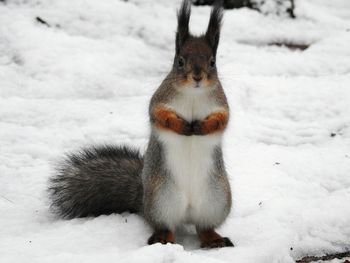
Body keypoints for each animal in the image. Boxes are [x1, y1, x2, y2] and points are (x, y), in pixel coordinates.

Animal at [47, 0, 232, 249]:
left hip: (216, 201)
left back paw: (214, 239)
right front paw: (182, 126)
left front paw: (202, 127)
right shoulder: (159, 100)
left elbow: (222, 120)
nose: (197, 76)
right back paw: (163, 238)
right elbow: (159, 116)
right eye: (179, 61)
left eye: (212, 62)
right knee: (165, 224)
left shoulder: (221, 104)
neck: (193, 95)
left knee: (204, 227)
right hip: (161, 199)